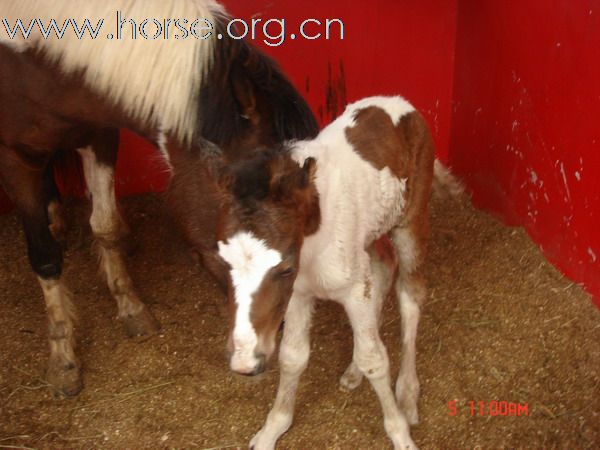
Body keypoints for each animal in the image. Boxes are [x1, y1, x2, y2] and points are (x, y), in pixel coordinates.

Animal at [0, 0, 318, 396]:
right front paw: (63, 358)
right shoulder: (15, 158)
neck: (36, 63)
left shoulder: (98, 132)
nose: (271, 334)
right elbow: (45, 258)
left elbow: (105, 226)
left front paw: (131, 309)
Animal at [216, 96, 436, 448]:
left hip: (410, 222)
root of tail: (398, 103)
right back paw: (353, 372)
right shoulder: (298, 295)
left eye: (285, 268)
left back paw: (407, 394)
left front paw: (400, 435)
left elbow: (375, 359)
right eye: (223, 263)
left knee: (410, 296)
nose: (245, 362)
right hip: (369, 235)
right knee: (383, 267)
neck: (312, 242)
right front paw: (272, 429)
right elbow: (293, 356)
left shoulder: (353, 289)